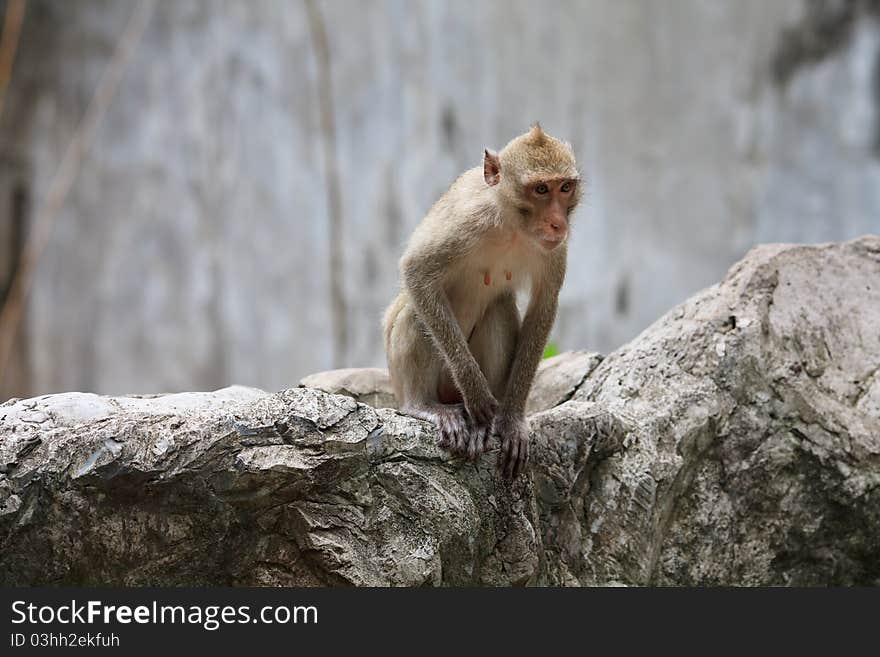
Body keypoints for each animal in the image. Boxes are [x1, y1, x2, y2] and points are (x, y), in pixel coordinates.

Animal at [382, 125, 580, 480]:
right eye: (541, 189)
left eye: (565, 187)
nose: (558, 223)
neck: (513, 226)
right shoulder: (466, 220)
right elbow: (417, 271)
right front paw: (473, 388)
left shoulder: (555, 249)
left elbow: (542, 307)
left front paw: (511, 419)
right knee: (414, 311)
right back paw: (425, 406)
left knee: (498, 309)